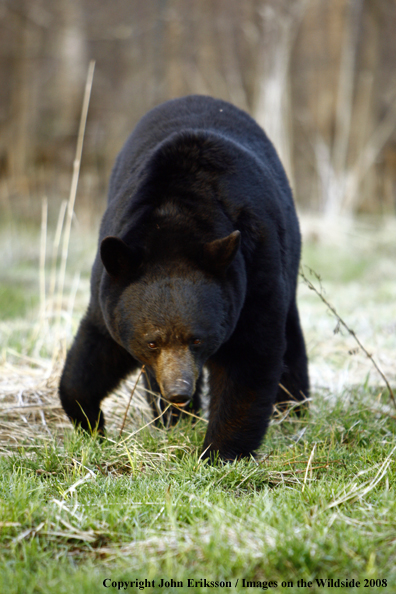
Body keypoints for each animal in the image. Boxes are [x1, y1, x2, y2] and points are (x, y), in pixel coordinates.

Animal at [58, 95, 310, 460]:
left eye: (197, 339)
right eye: (152, 341)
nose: (179, 390)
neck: (174, 219)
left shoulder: (254, 271)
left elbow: (251, 356)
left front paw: (220, 452)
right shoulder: (110, 290)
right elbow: (96, 349)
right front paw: (92, 424)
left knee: (291, 340)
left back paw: (293, 410)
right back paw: (172, 419)